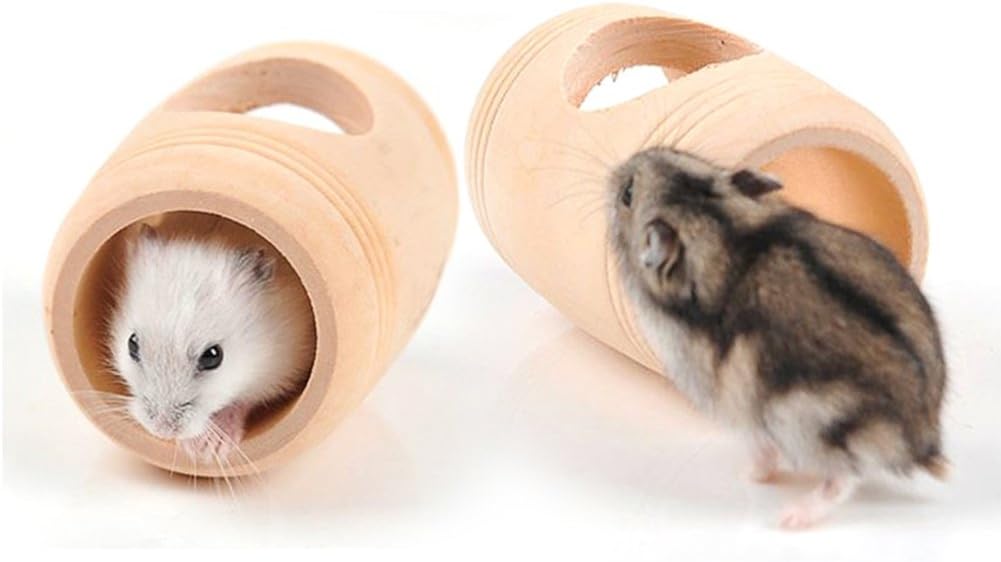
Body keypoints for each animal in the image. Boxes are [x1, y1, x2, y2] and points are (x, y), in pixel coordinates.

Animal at [108, 213, 315, 464]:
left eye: (213, 357)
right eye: (132, 344)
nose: (162, 431)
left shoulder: (279, 369)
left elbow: (243, 400)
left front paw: (206, 450)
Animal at [607, 147, 947, 529]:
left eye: (628, 194)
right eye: (679, 152)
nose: (620, 165)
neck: (725, 229)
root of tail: (922, 443)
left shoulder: (738, 409)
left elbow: (761, 449)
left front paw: (748, 476)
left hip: (811, 424)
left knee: (843, 479)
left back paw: (791, 517)